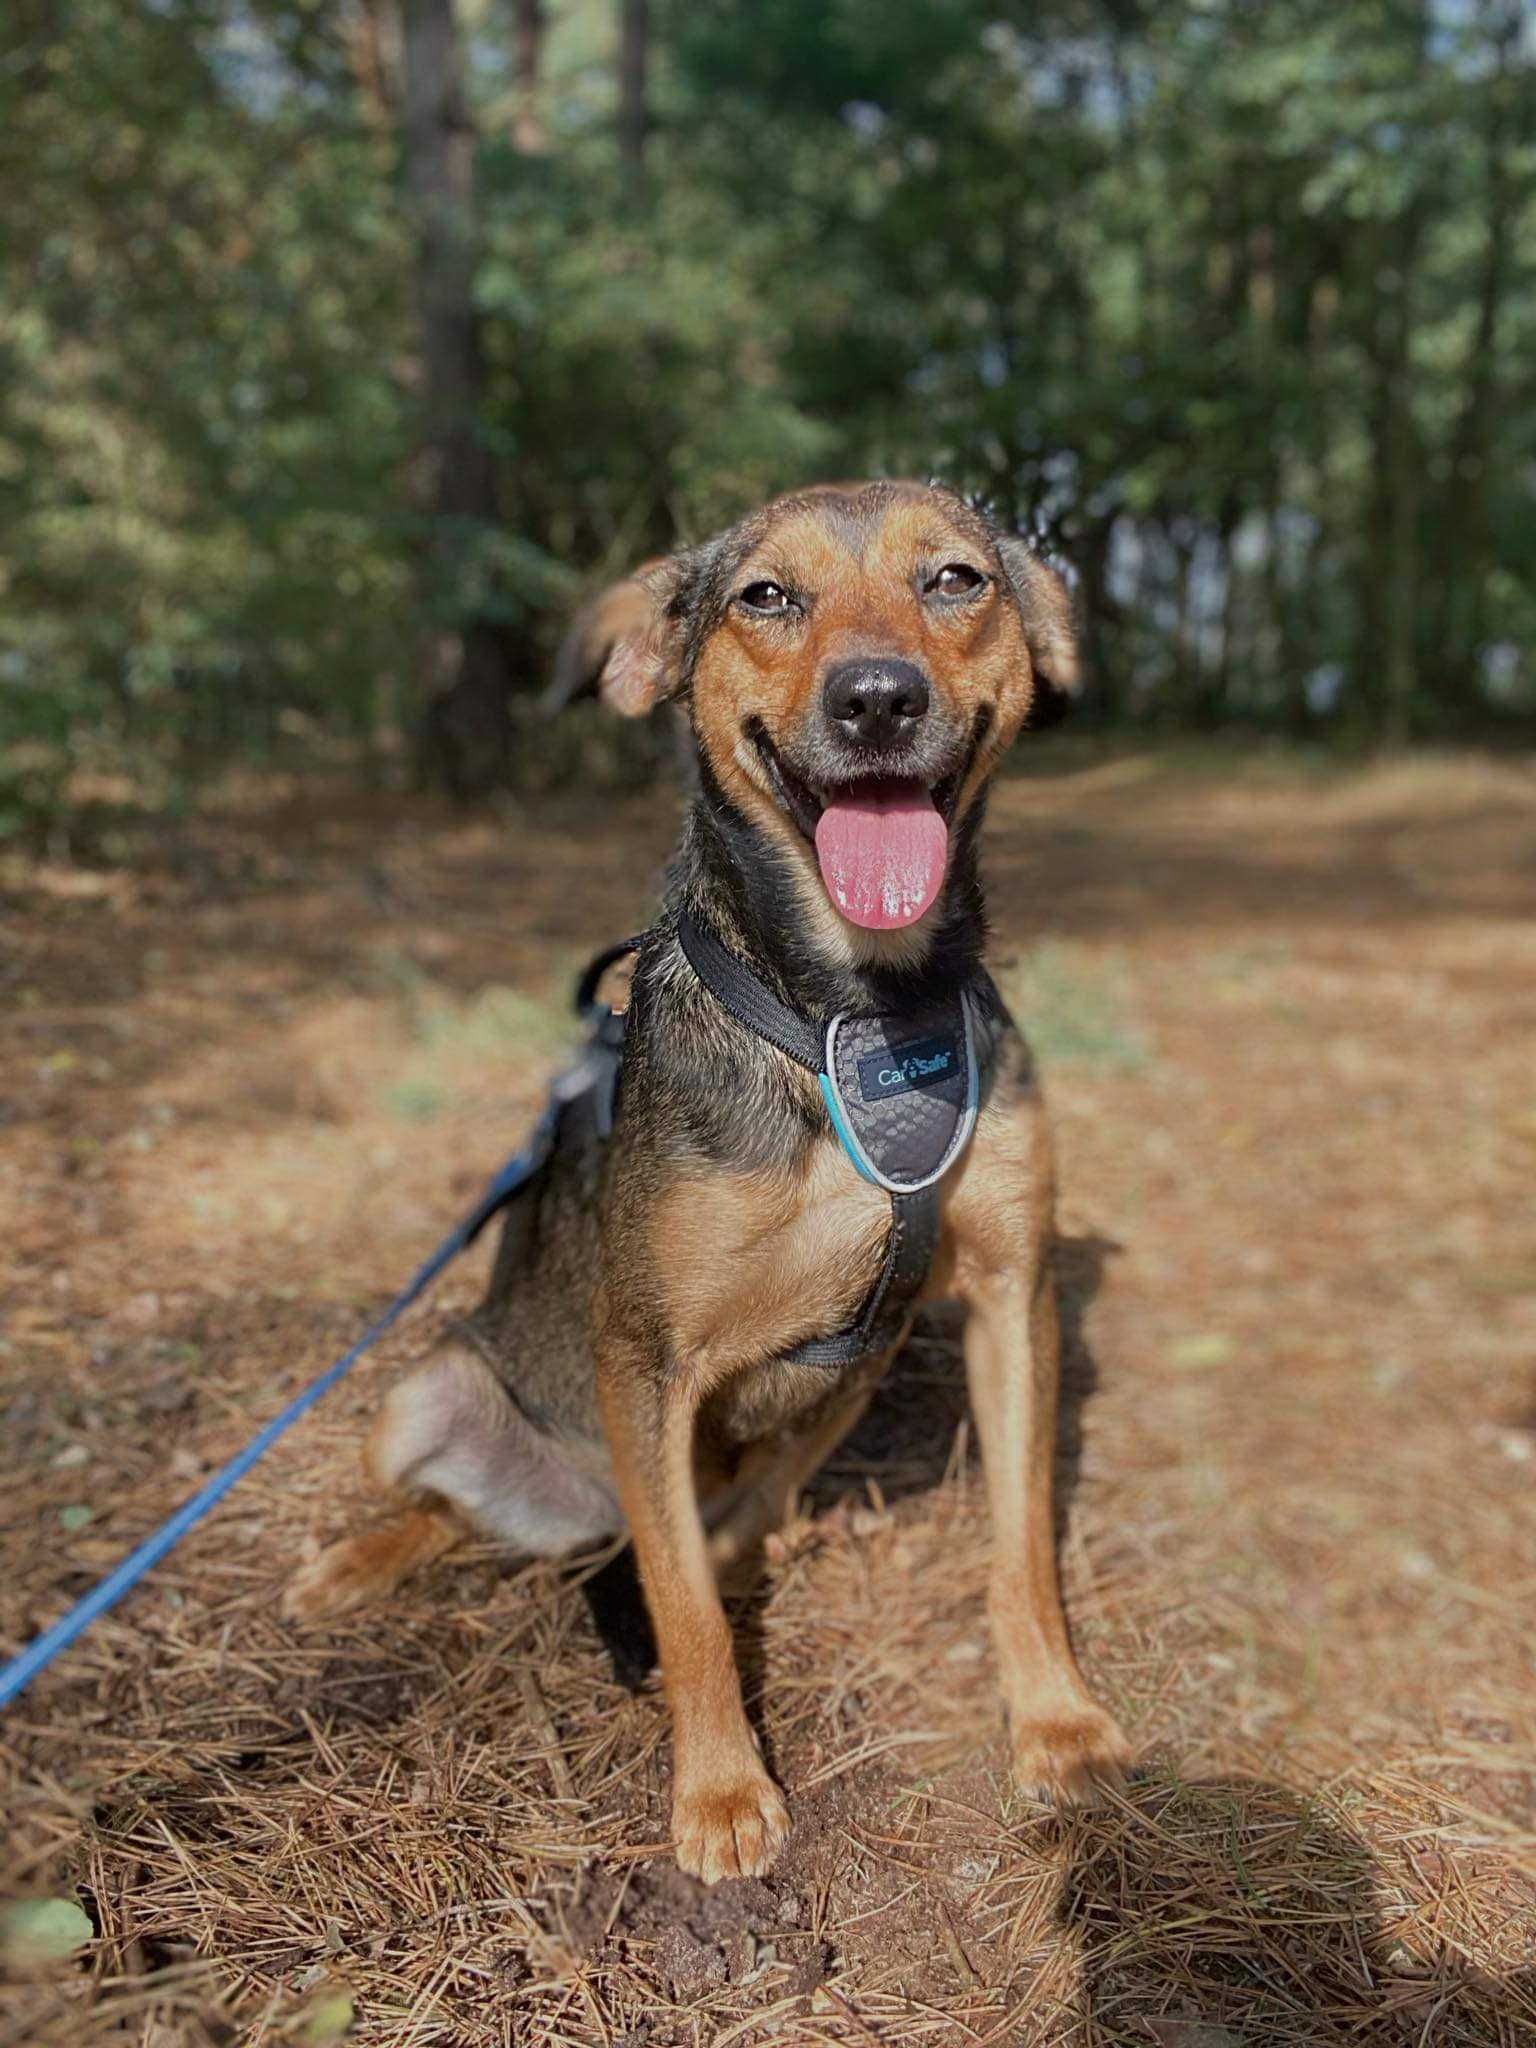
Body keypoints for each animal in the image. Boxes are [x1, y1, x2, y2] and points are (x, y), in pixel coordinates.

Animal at [286, 475, 1130, 1875]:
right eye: (765, 596)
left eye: (956, 579)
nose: (878, 698)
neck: (855, 1007)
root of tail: (583, 1509)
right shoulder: (647, 1355)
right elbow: (679, 1610)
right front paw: (724, 1790)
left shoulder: (1011, 1293)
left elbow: (1019, 1546)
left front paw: (1057, 1719)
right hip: (433, 1385)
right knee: (467, 1510)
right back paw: (356, 1563)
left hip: (856, 1374)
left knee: (721, 1513)